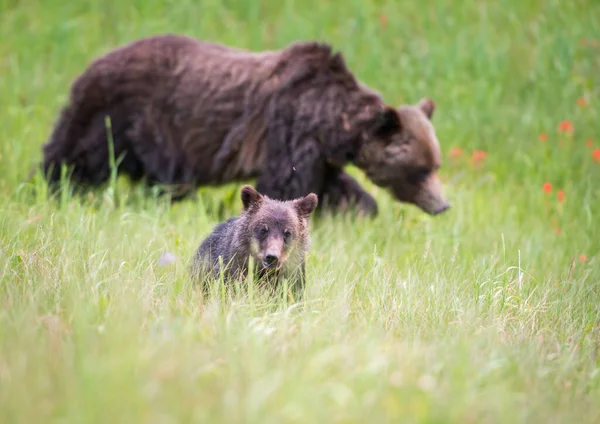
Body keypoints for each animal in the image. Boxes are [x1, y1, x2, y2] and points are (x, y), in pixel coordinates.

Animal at [42, 34, 450, 215]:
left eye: (436, 164)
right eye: (420, 170)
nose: (443, 205)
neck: (329, 121)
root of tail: (95, 58)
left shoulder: (319, 154)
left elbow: (333, 187)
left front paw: (360, 209)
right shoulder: (288, 130)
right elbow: (285, 185)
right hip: (120, 114)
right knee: (77, 154)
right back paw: (54, 187)